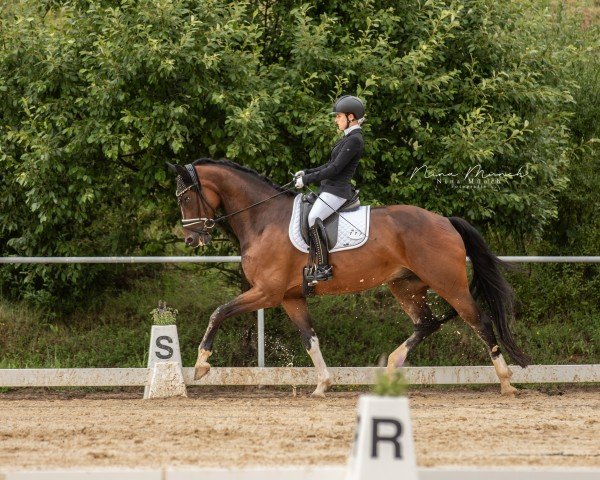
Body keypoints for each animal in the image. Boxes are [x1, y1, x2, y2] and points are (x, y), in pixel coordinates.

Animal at [166, 159, 528, 396]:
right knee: (426, 323)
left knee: (479, 321)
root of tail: (445, 220)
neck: (263, 218)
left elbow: (219, 312)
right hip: (405, 285)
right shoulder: (290, 297)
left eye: (185, 197)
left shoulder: (267, 292)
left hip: (448, 284)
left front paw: (201, 365)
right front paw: (323, 385)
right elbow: (309, 338)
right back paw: (392, 366)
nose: (192, 240)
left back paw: (506, 380)